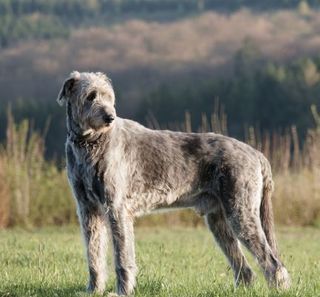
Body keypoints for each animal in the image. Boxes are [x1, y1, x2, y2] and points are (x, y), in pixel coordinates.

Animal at [57, 71, 290, 294]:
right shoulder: (88, 209)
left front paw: (122, 291)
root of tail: (256, 154)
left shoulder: (116, 208)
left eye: (108, 96)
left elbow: (123, 257)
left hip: (241, 213)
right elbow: (93, 254)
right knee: (246, 269)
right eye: (90, 96)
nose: (109, 117)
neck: (92, 142)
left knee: (272, 263)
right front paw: (93, 290)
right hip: (219, 220)